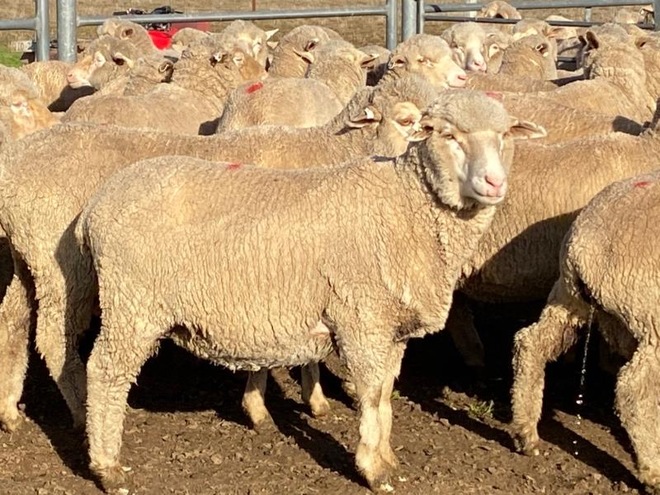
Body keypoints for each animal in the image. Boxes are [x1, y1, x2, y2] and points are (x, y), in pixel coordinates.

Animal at [0, 74, 440, 434]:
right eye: (407, 121)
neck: (327, 152)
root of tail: (15, 166)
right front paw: (266, 406)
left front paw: (308, 399)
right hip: (63, 268)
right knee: (55, 340)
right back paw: (80, 413)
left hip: (27, 262)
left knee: (12, 321)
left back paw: (9, 410)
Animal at [77, 89, 545, 493]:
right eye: (447, 135)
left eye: (505, 135)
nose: (494, 182)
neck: (407, 204)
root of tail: (97, 205)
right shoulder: (362, 319)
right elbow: (370, 395)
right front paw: (373, 469)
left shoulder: (390, 327)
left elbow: (386, 395)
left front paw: (387, 456)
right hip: (132, 304)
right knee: (105, 372)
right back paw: (107, 467)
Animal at [510, 170, 660, 494]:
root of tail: (586, 245)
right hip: (651, 319)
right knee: (633, 390)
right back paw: (653, 471)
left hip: (567, 296)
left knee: (530, 343)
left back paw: (525, 433)